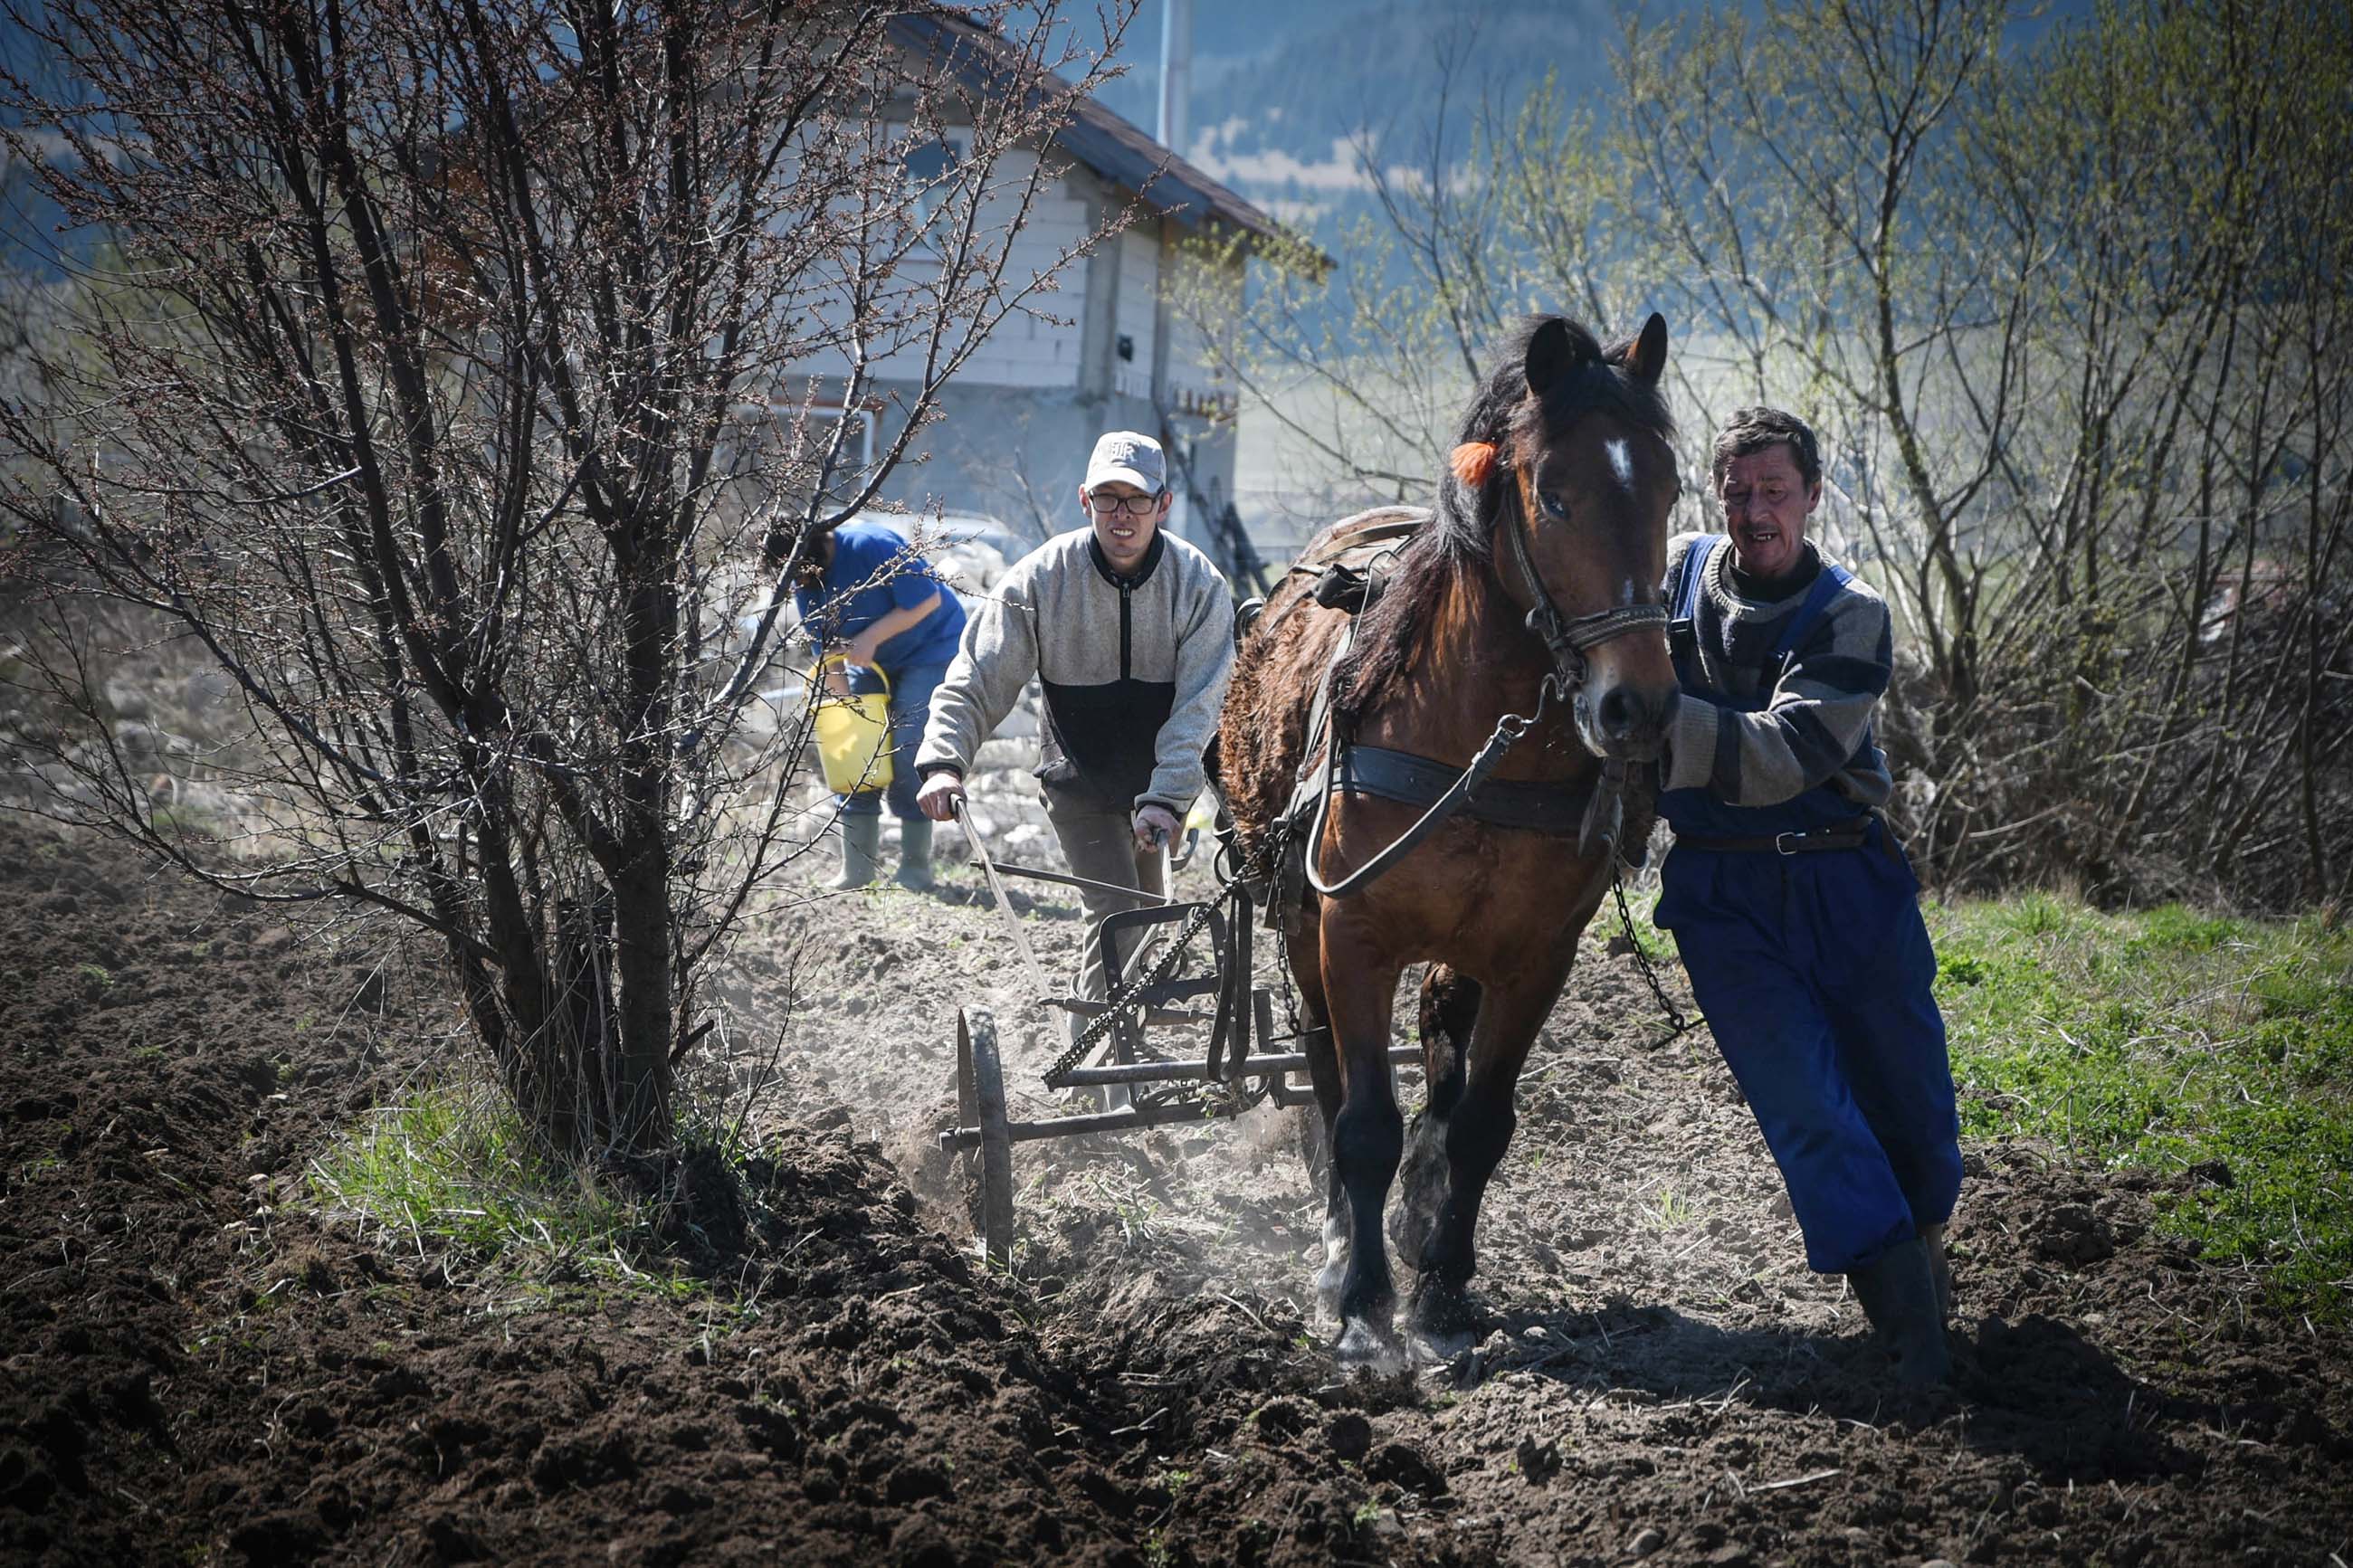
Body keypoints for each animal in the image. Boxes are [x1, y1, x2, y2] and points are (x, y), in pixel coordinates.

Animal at [1224, 315, 1684, 1363]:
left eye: (1671, 488)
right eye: (1553, 491)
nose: (1636, 706)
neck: (1474, 742)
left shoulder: (1535, 955)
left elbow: (1480, 1122)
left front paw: (1439, 1290)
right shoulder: (1351, 934)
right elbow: (1360, 1122)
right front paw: (1360, 1306)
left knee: (1440, 1040)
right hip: (1297, 920)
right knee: (1321, 1065)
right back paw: (1339, 1239)